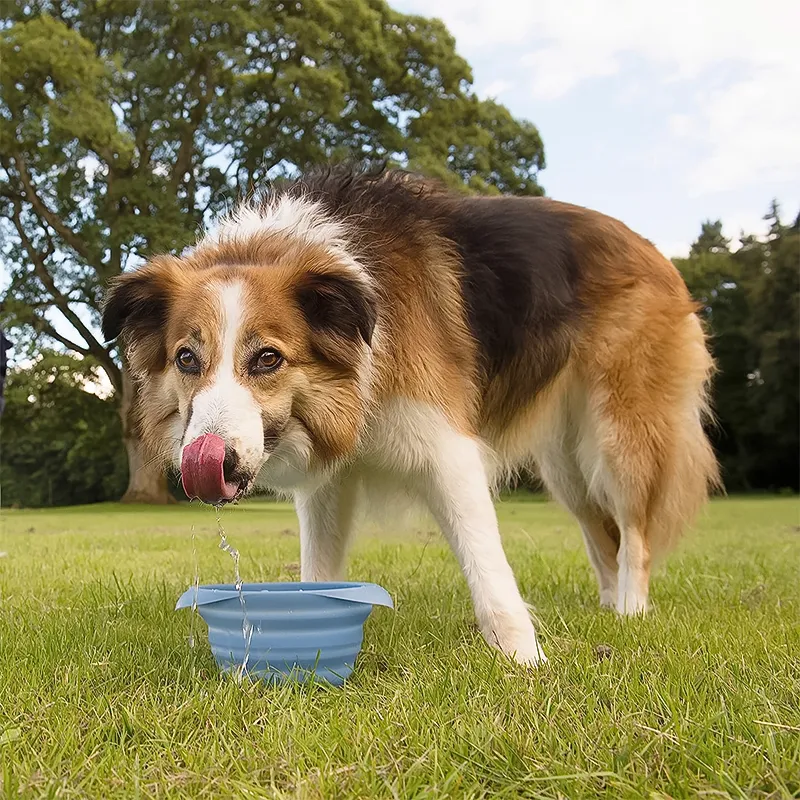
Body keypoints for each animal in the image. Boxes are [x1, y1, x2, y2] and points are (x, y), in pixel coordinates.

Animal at [100, 162, 720, 664]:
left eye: (268, 358)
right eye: (187, 358)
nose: (212, 462)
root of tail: (653, 249)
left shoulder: (449, 452)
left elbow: (488, 565)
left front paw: (525, 660)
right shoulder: (329, 482)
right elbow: (316, 572)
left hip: (617, 438)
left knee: (633, 533)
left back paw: (630, 612)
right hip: (565, 463)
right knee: (599, 533)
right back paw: (606, 607)